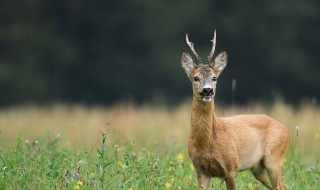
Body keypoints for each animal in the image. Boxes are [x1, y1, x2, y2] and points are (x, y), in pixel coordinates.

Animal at [181, 30, 292, 189]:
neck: (207, 143)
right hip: (258, 168)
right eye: (196, 78)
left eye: (214, 78)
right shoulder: (201, 170)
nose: (207, 91)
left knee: (280, 186)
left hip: (275, 158)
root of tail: (287, 130)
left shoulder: (230, 167)